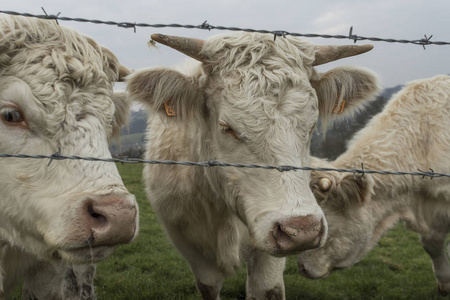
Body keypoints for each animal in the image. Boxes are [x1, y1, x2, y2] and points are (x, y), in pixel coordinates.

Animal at [127, 33, 380, 300]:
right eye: (227, 127)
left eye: (311, 126)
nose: (303, 230)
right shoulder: (189, 244)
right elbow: (208, 286)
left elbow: (267, 289)